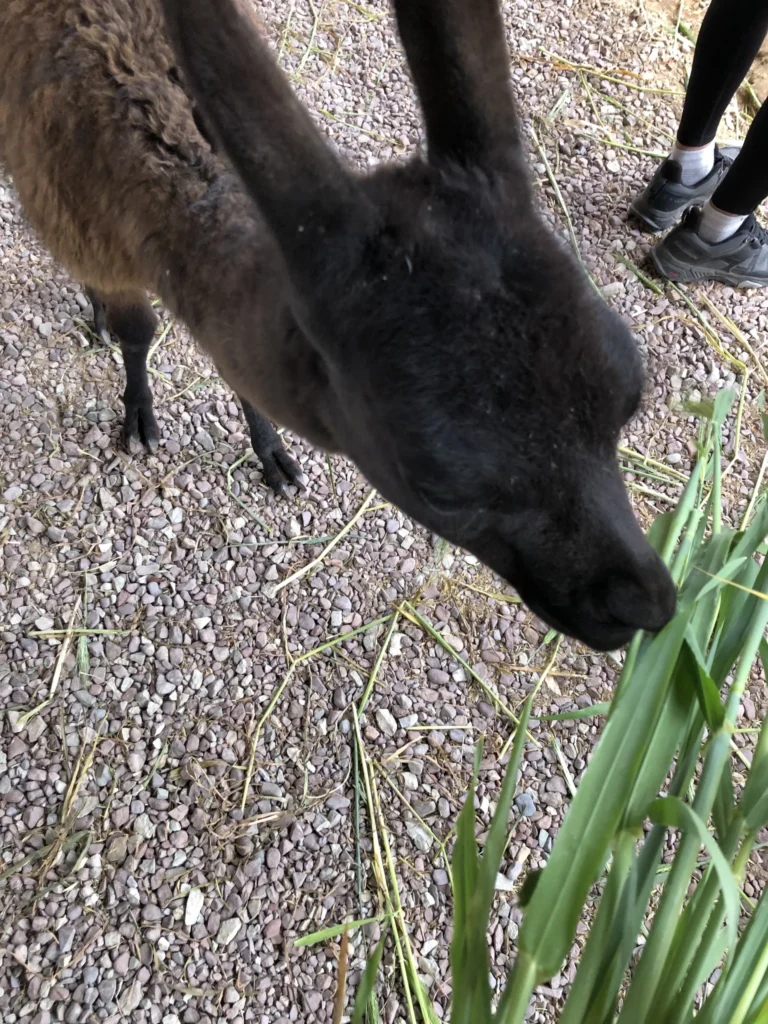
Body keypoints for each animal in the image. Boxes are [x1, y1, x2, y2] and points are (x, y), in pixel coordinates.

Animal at [0, 0, 677, 651]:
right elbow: (139, 332)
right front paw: (139, 417)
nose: (644, 605)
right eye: (441, 487)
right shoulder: (93, 236)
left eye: (630, 395)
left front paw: (273, 454)